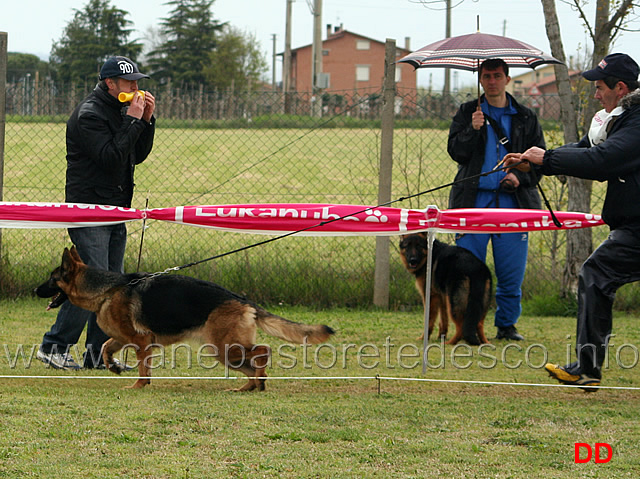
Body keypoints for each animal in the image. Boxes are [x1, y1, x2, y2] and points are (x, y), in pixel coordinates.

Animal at [35, 249, 336, 392]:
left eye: (51, 279)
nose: (35, 290)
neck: (106, 290)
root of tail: (242, 300)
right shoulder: (123, 338)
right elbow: (107, 348)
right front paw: (115, 368)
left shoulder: (141, 341)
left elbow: (142, 369)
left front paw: (139, 386)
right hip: (226, 351)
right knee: (253, 362)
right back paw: (248, 386)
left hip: (224, 348)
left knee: (264, 351)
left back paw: (259, 381)